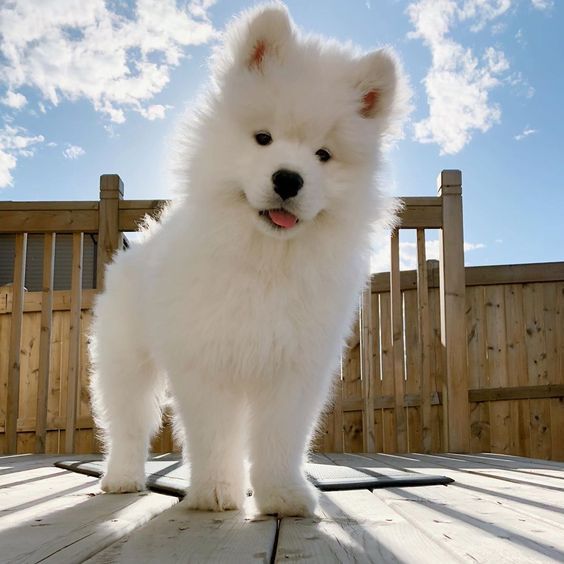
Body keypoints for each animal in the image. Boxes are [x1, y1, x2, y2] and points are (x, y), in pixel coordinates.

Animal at [90, 3, 404, 516]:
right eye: (263, 138)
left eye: (323, 155)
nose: (289, 178)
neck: (265, 260)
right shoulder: (206, 362)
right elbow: (214, 436)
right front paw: (217, 493)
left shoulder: (292, 369)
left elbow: (278, 440)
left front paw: (281, 496)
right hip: (126, 362)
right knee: (128, 424)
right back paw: (121, 478)